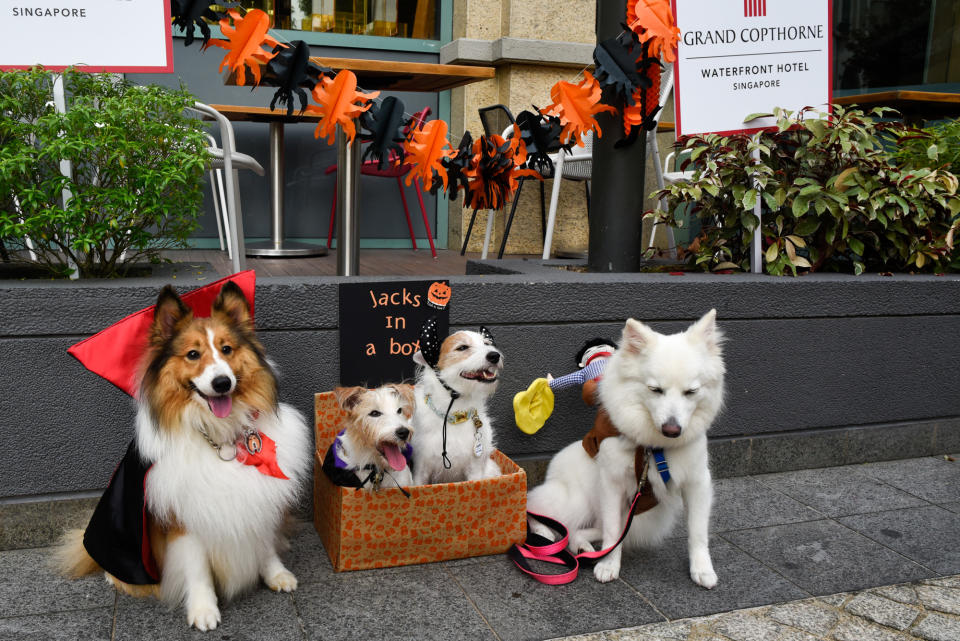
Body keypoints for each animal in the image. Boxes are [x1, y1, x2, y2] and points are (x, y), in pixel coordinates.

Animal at [54, 282, 310, 632]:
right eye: (192, 354)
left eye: (227, 349)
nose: (222, 383)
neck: (219, 438)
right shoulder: (183, 517)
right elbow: (197, 568)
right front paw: (203, 609)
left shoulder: (257, 496)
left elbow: (265, 541)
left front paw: (276, 574)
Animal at [528, 308, 724, 584]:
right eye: (655, 389)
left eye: (691, 392)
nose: (672, 430)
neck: (654, 448)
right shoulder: (612, 485)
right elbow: (613, 534)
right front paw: (609, 565)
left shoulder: (697, 483)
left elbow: (697, 532)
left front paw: (702, 569)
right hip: (574, 502)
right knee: (534, 506)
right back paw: (544, 533)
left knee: (579, 531)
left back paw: (582, 548)